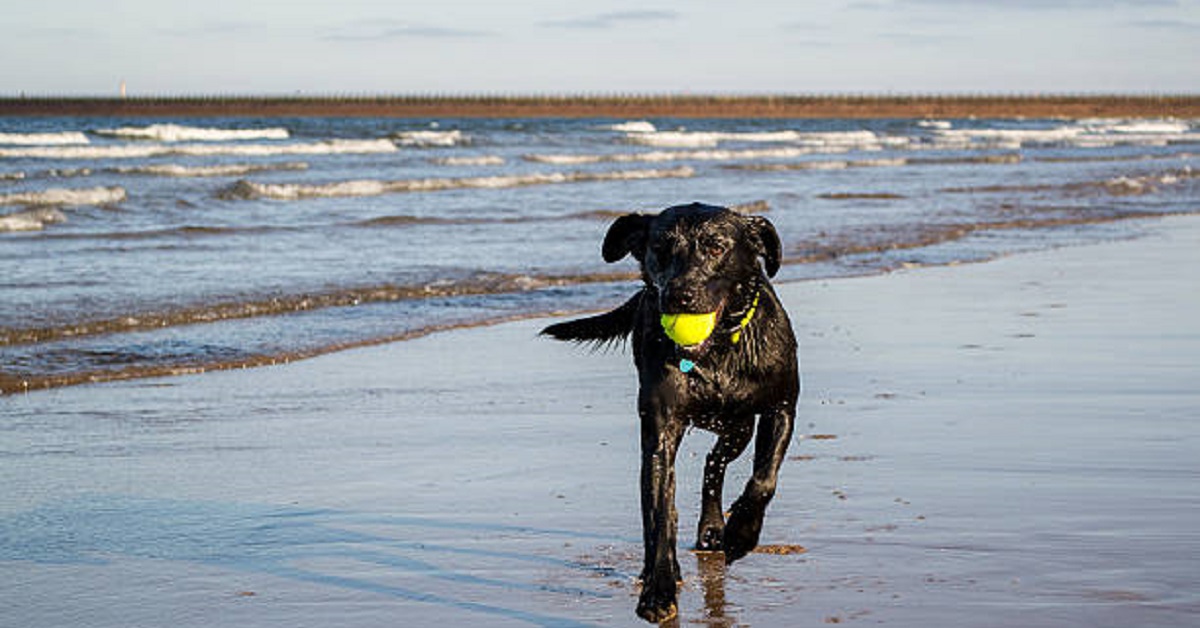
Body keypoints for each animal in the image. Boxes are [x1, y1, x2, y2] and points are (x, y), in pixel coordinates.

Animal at [544, 202, 796, 624]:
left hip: (740, 427)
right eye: (660, 248)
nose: (679, 295)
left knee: (715, 463)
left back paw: (715, 528)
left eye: (716, 247)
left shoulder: (782, 408)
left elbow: (764, 479)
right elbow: (659, 516)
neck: (716, 354)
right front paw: (658, 590)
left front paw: (742, 532)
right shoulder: (660, 434)